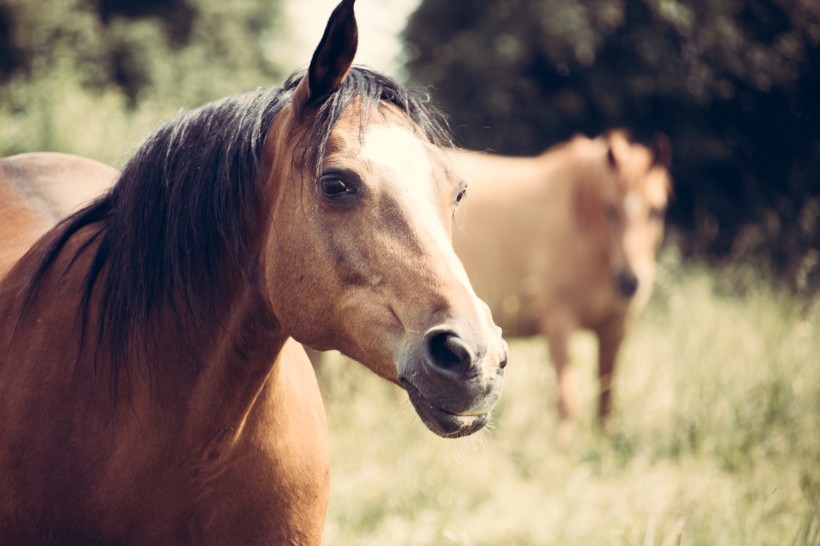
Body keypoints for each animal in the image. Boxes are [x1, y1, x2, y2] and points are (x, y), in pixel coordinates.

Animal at [452, 131, 668, 424]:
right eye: (609, 208)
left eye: (657, 210)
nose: (629, 281)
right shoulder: (558, 324)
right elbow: (567, 402)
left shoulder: (615, 328)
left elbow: (606, 399)